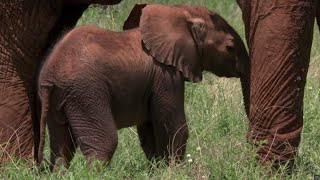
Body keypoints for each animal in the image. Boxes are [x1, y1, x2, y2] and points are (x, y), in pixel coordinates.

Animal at [38, 3, 250, 169]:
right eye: (230, 48)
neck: (178, 12)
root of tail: (50, 75)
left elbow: (149, 129)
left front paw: (158, 170)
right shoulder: (165, 74)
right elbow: (174, 126)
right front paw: (175, 171)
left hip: (60, 99)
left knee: (62, 147)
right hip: (86, 93)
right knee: (104, 143)